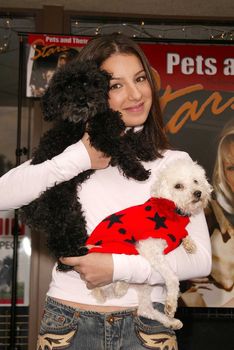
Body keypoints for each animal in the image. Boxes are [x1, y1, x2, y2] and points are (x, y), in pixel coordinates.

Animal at [86, 159, 212, 328]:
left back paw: (170, 322)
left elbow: (184, 235)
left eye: (196, 181)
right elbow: (172, 277)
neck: (171, 211)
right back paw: (121, 285)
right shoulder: (150, 249)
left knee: (144, 309)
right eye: (178, 186)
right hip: (118, 248)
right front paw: (171, 302)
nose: (198, 193)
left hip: (145, 285)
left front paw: (189, 243)